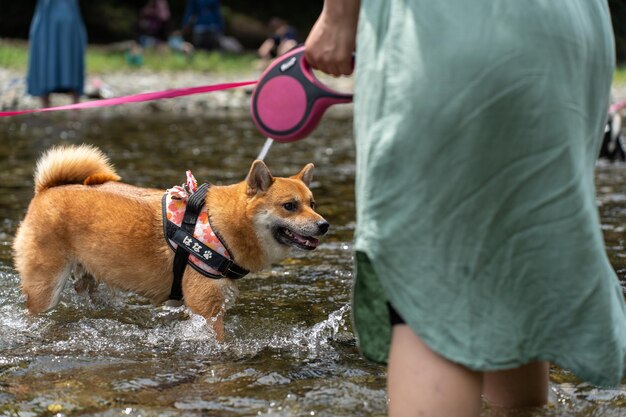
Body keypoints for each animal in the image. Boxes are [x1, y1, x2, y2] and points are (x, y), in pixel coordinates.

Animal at [12, 144, 330, 338]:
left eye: (312, 203)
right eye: (289, 206)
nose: (324, 225)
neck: (222, 225)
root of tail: (46, 189)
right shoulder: (206, 308)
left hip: (90, 281)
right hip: (45, 287)